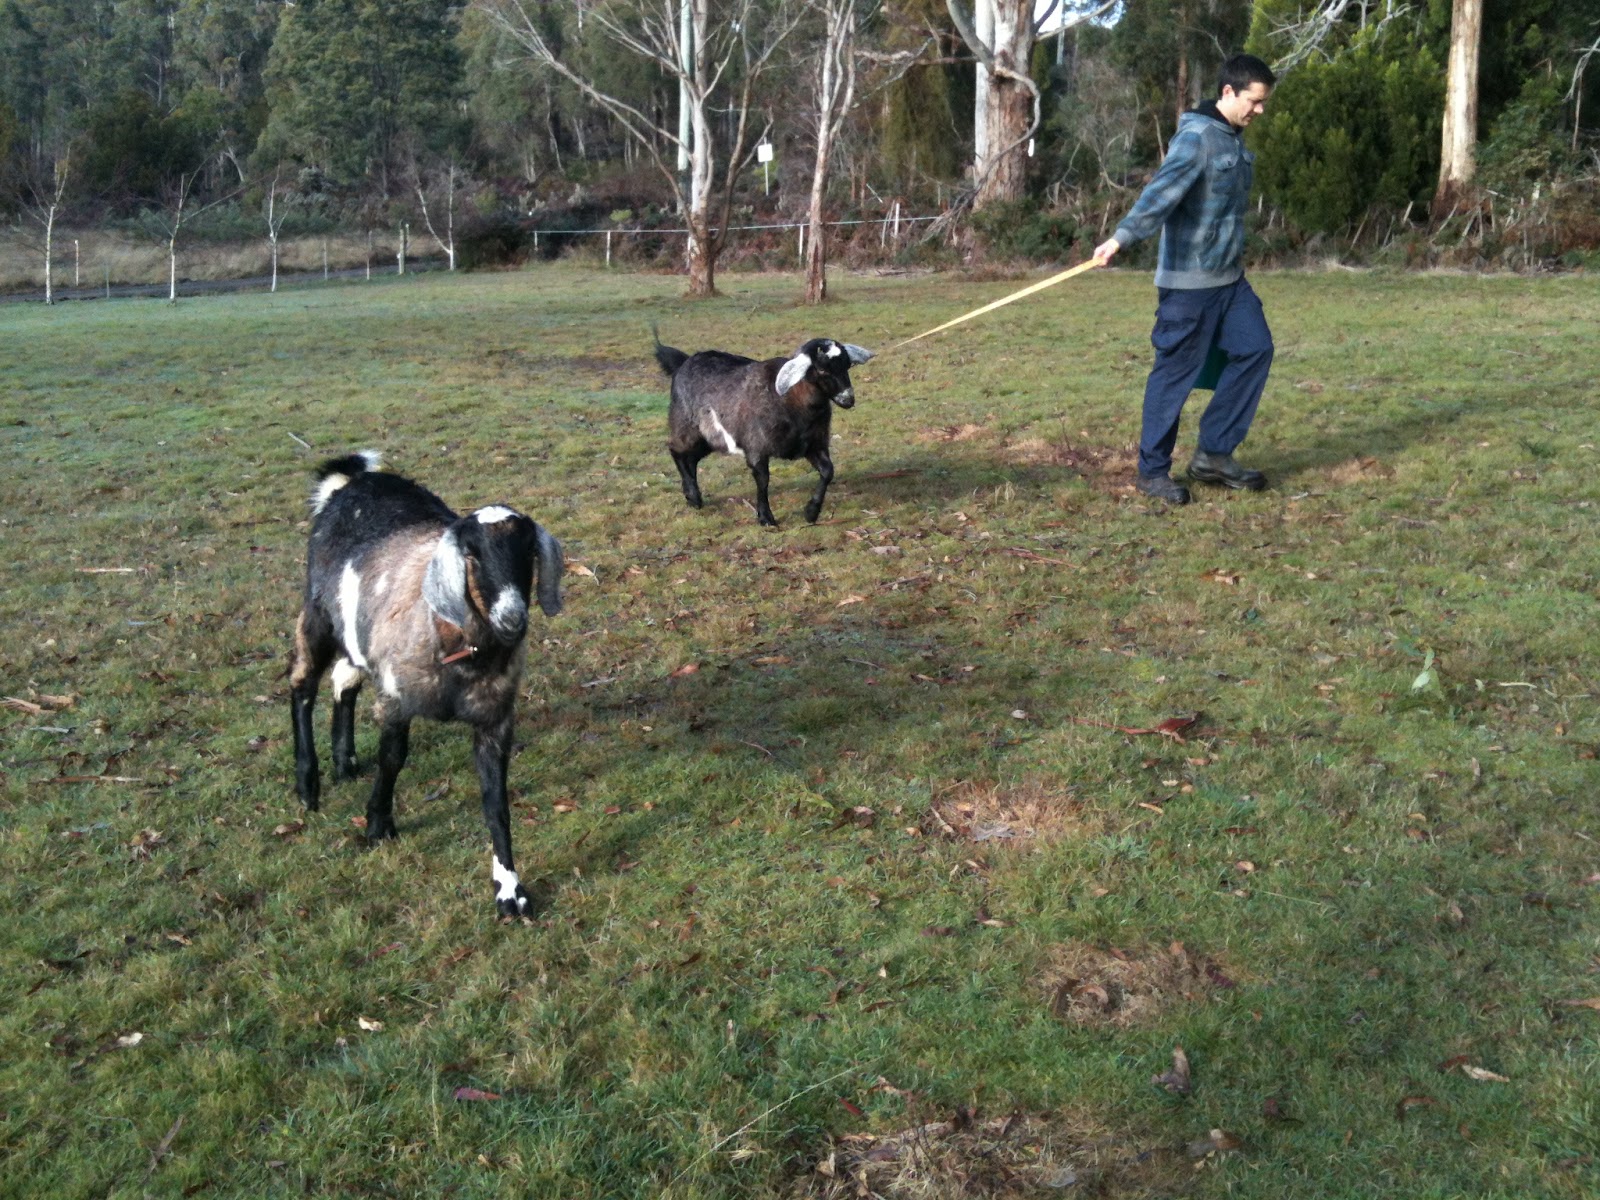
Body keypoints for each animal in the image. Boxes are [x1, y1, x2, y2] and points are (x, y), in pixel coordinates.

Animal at [288, 451, 563, 919]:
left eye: (529, 551)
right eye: (471, 554)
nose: (513, 618)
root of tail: (353, 480)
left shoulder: (494, 718)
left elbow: (496, 800)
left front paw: (509, 888)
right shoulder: (398, 698)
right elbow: (392, 760)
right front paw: (378, 825)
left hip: (357, 629)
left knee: (345, 678)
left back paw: (345, 760)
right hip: (318, 612)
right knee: (302, 684)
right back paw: (309, 785)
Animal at [654, 330, 874, 527]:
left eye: (847, 365)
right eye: (821, 369)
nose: (848, 399)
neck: (792, 401)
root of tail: (684, 361)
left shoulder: (813, 444)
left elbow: (828, 471)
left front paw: (811, 512)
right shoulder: (756, 448)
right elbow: (763, 480)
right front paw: (766, 518)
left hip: (710, 438)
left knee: (690, 458)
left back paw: (692, 496)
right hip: (686, 426)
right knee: (676, 450)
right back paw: (693, 495)